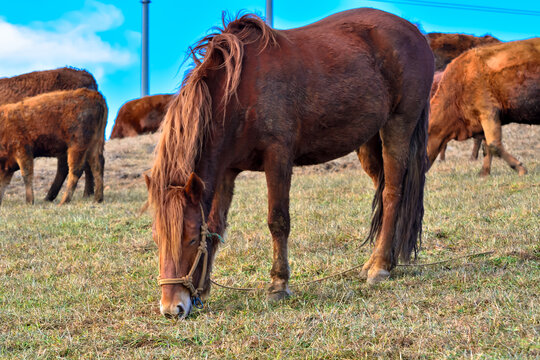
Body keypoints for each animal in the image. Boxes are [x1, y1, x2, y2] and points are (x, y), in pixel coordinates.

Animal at [146, 9, 432, 318]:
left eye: (189, 239)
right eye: (157, 239)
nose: (172, 308)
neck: (241, 92)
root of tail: (414, 33)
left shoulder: (278, 157)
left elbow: (278, 221)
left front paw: (278, 285)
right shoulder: (226, 171)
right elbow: (215, 225)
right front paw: (205, 288)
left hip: (398, 126)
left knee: (392, 193)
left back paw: (379, 267)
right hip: (369, 141)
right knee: (383, 188)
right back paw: (381, 260)